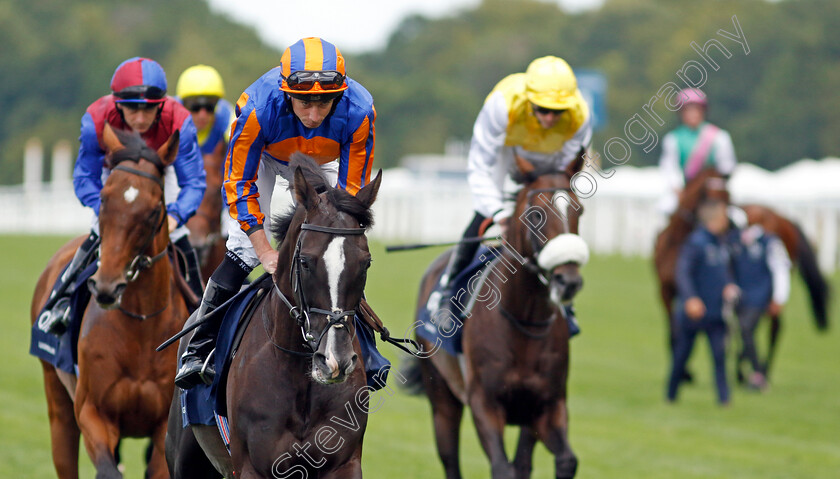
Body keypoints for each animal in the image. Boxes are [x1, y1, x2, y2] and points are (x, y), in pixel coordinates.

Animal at [30, 125, 189, 478]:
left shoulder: (163, 428)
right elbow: (108, 469)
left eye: (154, 210)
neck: (141, 324)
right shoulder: (93, 412)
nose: (105, 287)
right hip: (57, 403)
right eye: (103, 199)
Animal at [656, 169, 828, 382]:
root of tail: (782, 217)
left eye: (728, 195)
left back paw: (759, 371)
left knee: (773, 326)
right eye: (705, 194)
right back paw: (744, 370)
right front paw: (684, 373)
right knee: (752, 324)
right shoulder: (666, 291)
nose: (724, 228)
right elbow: (675, 332)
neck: (677, 242)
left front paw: (685, 372)